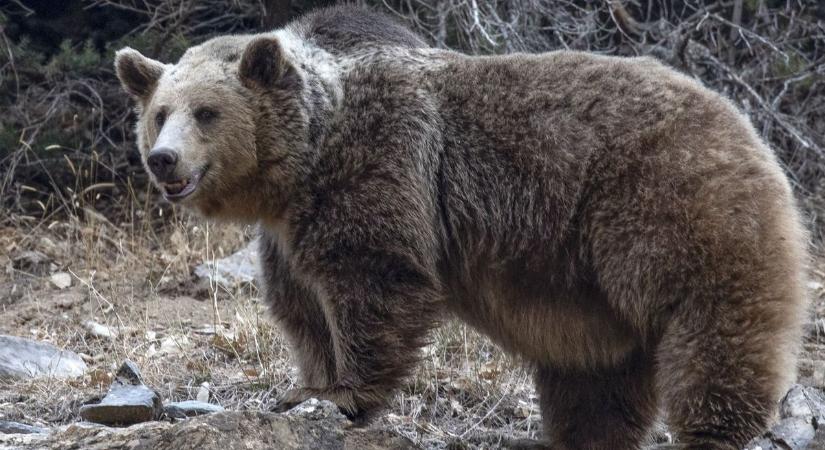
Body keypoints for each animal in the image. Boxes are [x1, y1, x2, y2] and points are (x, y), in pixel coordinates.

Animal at [114, 4, 804, 450]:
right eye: (160, 112)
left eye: (207, 112)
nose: (163, 159)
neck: (305, 160)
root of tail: (742, 120)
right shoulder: (288, 231)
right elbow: (302, 307)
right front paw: (304, 388)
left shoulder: (378, 171)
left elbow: (374, 278)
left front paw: (346, 395)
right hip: (591, 289)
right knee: (596, 378)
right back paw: (584, 435)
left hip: (668, 205)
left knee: (710, 321)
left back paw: (714, 429)